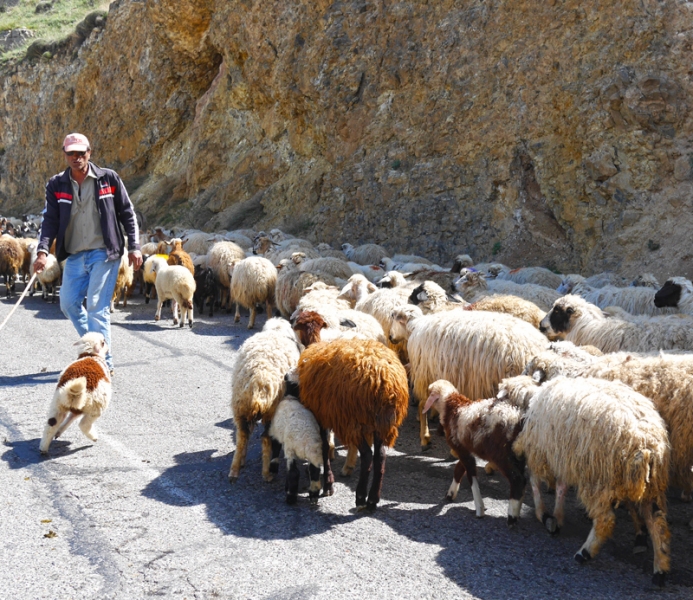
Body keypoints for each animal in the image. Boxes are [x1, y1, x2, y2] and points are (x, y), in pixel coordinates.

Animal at [296, 340, 406, 508]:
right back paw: (373, 499)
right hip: (381, 423)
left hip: (354, 421)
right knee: (380, 456)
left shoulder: (321, 416)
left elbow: (324, 447)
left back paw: (361, 497)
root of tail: (383, 380)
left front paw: (328, 485)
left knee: (367, 455)